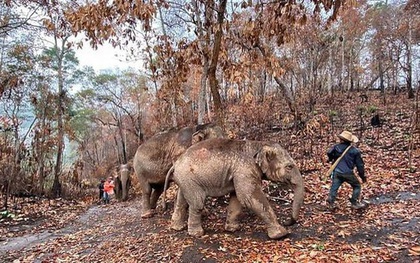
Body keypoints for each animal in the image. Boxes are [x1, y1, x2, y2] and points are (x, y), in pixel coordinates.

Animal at [164, 139, 306, 240]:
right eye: (289, 166)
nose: (287, 221)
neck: (258, 144)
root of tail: (175, 164)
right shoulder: (245, 170)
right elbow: (249, 197)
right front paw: (281, 234)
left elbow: (237, 198)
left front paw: (232, 229)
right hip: (190, 179)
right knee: (197, 203)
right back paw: (197, 234)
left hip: (185, 180)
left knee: (182, 200)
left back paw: (177, 227)